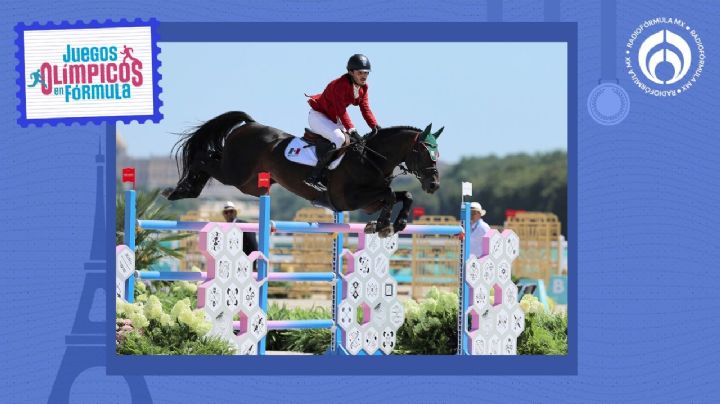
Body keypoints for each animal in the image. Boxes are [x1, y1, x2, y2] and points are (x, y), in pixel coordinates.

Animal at [165, 110, 442, 237]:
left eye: (437, 154)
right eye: (423, 153)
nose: (434, 185)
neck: (371, 159)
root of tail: (249, 124)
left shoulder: (368, 203)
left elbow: (402, 195)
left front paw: (398, 223)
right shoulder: (349, 199)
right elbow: (389, 194)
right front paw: (384, 225)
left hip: (249, 183)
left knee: (210, 160)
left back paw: (185, 189)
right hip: (234, 172)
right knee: (204, 159)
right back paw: (179, 191)